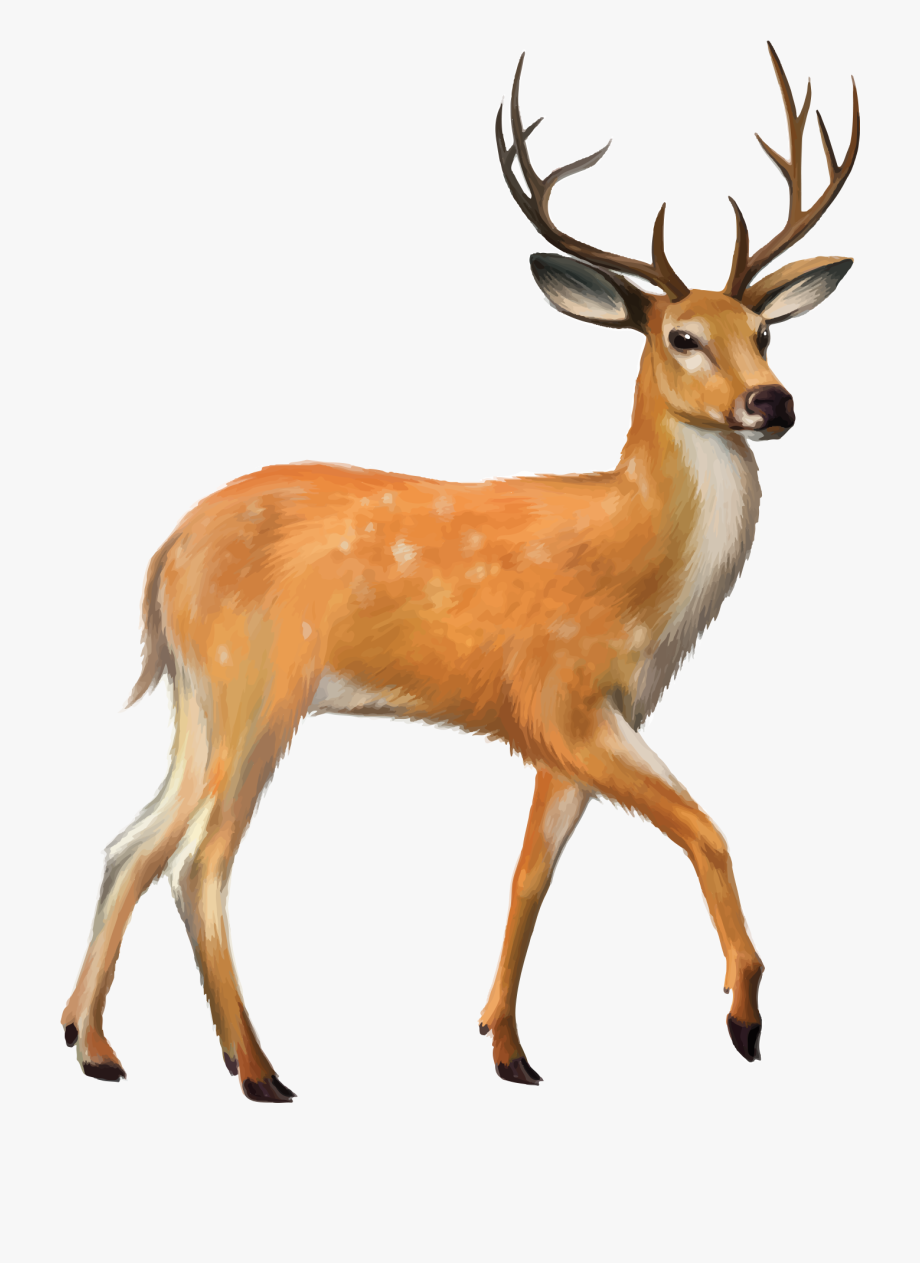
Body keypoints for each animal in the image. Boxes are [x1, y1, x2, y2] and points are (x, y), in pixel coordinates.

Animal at [62, 44, 859, 1100]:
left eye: (764, 333)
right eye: (681, 336)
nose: (773, 403)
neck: (637, 563)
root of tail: (161, 559)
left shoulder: (592, 719)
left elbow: (530, 872)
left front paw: (508, 1046)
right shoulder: (558, 695)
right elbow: (706, 827)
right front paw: (744, 1016)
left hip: (198, 695)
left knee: (131, 844)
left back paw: (93, 1044)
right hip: (259, 683)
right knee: (201, 860)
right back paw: (259, 1069)